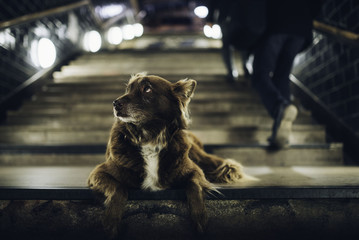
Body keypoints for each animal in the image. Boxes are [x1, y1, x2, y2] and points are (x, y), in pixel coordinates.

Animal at [88, 72, 249, 237]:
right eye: (128, 89)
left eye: (147, 89)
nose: (115, 103)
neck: (150, 138)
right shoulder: (99, 172)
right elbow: (118, 189)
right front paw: (111, 220)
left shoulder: (194, 170)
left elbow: (194, 185)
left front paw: (200, 217)